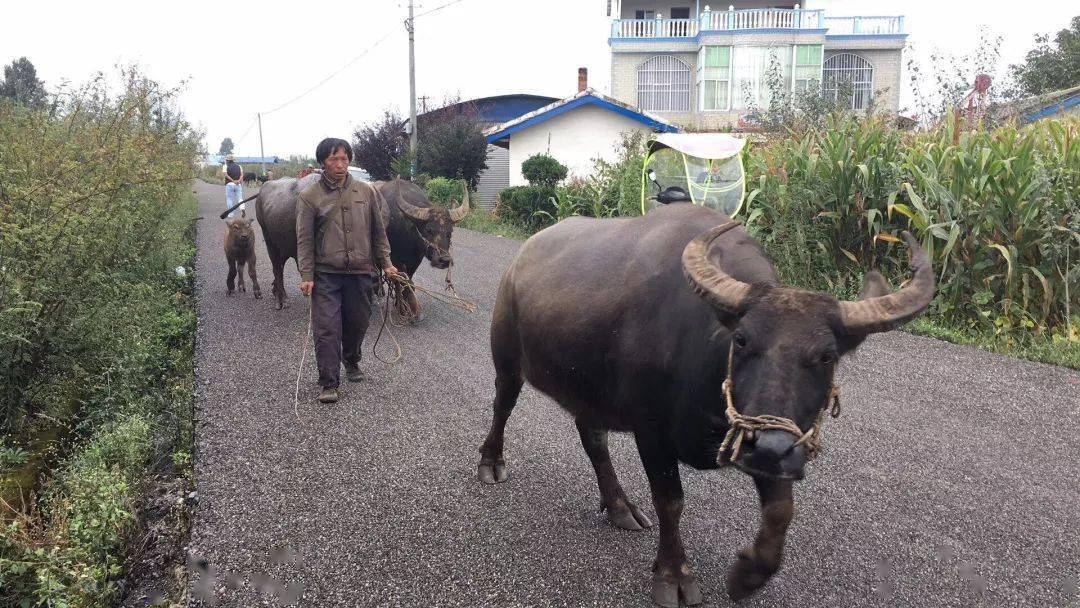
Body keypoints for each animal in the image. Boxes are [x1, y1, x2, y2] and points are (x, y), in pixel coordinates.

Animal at [477, 206, 933, 608]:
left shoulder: (770, 443)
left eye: (827, 356)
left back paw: (620, 507)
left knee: (593, 438)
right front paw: (674, 575)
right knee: (503, 406)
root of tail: (520, 258)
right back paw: (491, 463)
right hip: (508, 359)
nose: (768, 449)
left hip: (590, 391)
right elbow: (671, 501)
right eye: (742, 340)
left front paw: (747, 575)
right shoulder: (652, 432)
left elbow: (781, 510)